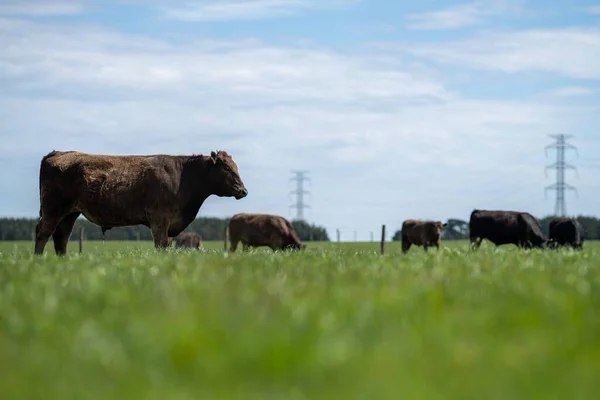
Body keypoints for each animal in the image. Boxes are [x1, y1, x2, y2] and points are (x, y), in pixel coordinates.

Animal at [32, 150, 248, 256]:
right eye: (227, 168)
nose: (243, 191)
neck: (183, 176)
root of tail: (57, 152)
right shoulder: (160, 219)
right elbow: (160, 244)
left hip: (69, 213)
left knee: (61, 237)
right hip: (53, 209)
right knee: (43, 233)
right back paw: (38, 259)